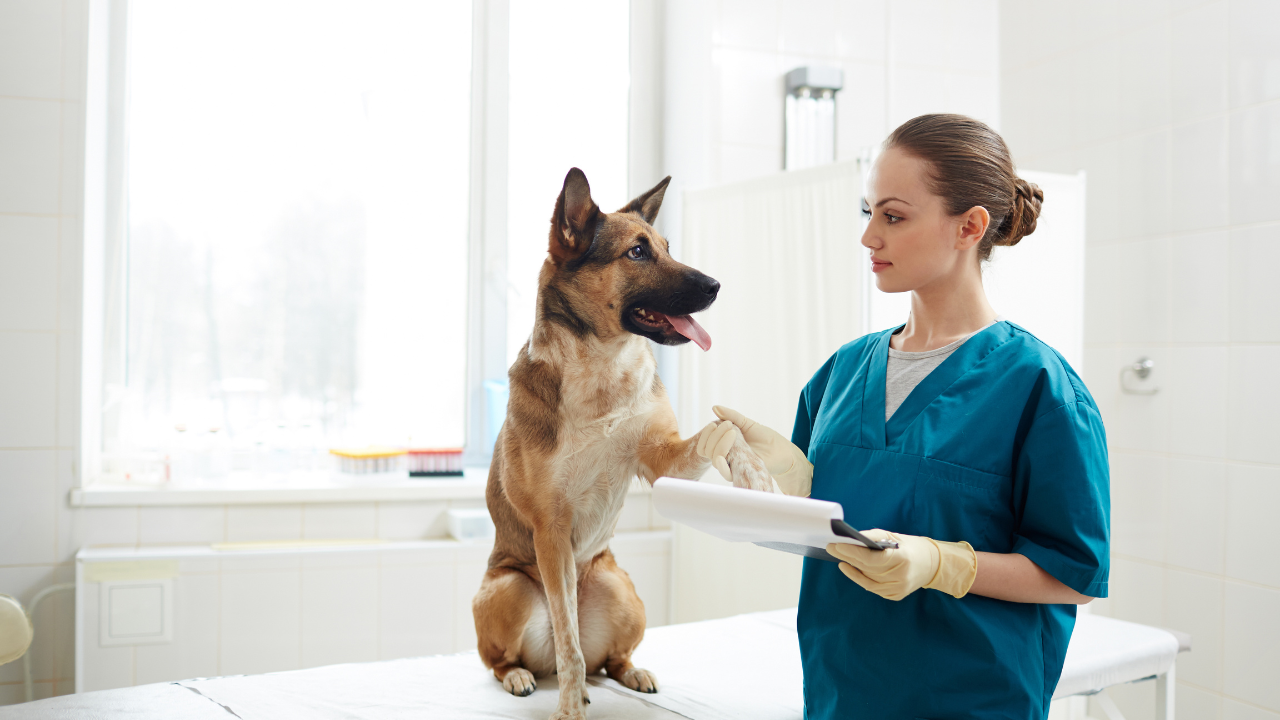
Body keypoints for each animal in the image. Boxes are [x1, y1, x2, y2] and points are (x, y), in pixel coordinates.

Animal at [471, 169, 768, 717]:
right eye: (636, 252)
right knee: (523, 655)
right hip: (511, 589)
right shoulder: (551, 529)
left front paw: (753, 472)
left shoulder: (661, 461)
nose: (716, 286)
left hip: (621, 589)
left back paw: (633, 673)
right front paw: (569, 708)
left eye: (668, 247)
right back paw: (523, 675)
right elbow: (568, 643)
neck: (602, 367)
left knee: (609, 659)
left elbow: (724, 432)